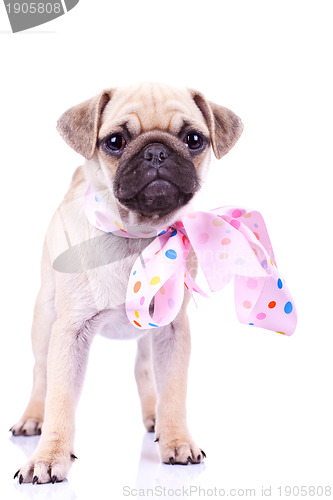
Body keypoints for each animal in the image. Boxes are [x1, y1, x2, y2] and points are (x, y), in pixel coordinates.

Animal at [11, 84, 241, 482]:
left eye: (194, 140)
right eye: (115, 142)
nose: (156, 151)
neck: (136, 236)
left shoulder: (173, 332)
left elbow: (173, 390)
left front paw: (177, 440)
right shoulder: (69, 333)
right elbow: (60, 399)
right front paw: (50, 456)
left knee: (145, 372)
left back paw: (155, 418)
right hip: (44, 317)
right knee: (41, 373)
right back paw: (32, 418)